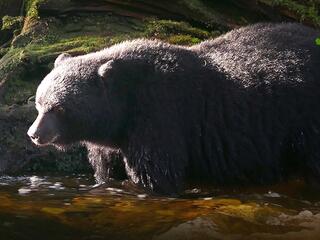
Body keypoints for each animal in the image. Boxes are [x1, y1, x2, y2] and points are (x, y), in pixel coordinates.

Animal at [28, 22, 320, 194]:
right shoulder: (113, 141)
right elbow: (106, 169)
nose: (34, 134)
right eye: (39, 103)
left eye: (57, 107)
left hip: (303, 118)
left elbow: (156, 170)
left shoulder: (160, 113)